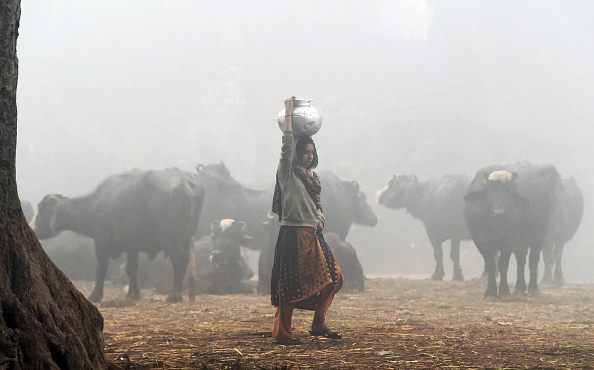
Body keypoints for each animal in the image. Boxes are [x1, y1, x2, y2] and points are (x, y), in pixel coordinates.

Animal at [33, 169, 204, 302]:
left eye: (41, 209)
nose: (33, 228)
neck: (96, 205)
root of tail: (184, 181)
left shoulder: (101, 242)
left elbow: (101, 269)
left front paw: (96, 295)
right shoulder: (132, 247)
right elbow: (132, 268)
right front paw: (133, 294)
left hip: (172, 238)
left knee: (179, 258)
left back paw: (175, 294)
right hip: (187, 236)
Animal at [462, 164, 560, 298]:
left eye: (509, 190)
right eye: (490, 189)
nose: (499, 213)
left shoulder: (509, 240)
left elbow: (503, 264)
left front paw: (504, 291)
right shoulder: (480, 239)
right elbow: (490, 264)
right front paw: (490, 292)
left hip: (539, 235)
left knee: (532, 260)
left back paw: (530, 289)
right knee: (521, 258)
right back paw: (520, 288)